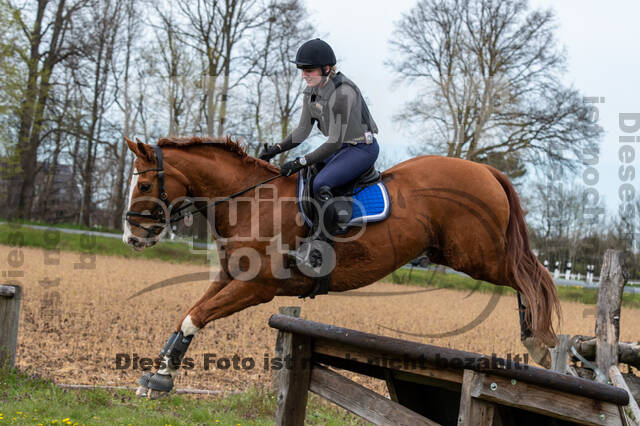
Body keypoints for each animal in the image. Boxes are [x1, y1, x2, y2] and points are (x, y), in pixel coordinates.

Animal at [121, 136, 560, 400]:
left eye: (144, 186)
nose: (131, 237)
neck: (251, 202)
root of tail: (485, 170)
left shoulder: (256, 287)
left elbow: (196, 317)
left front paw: (162, 377)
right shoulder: (232, 277)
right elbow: (187, 316)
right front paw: (158, 376)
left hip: (476, 255)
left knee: (531, 276)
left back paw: (541, 342)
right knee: (526, 276)